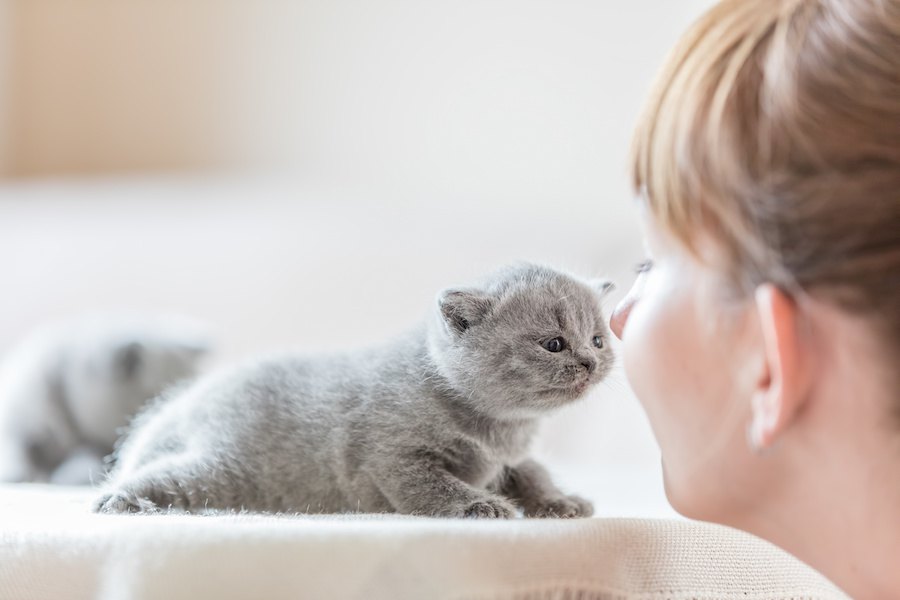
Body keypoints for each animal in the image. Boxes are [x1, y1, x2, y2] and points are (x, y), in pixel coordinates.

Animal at [98, 264, 616, 516]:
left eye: (597, 339)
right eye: (554, 344)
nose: (590, 362)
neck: (500, 428)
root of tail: (188, 401)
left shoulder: (511, 457)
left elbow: (534, 472)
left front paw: (559, 501)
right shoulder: (392, 456)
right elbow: (433, 486)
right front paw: (480, 504)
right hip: (225, 469)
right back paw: (121, 500)